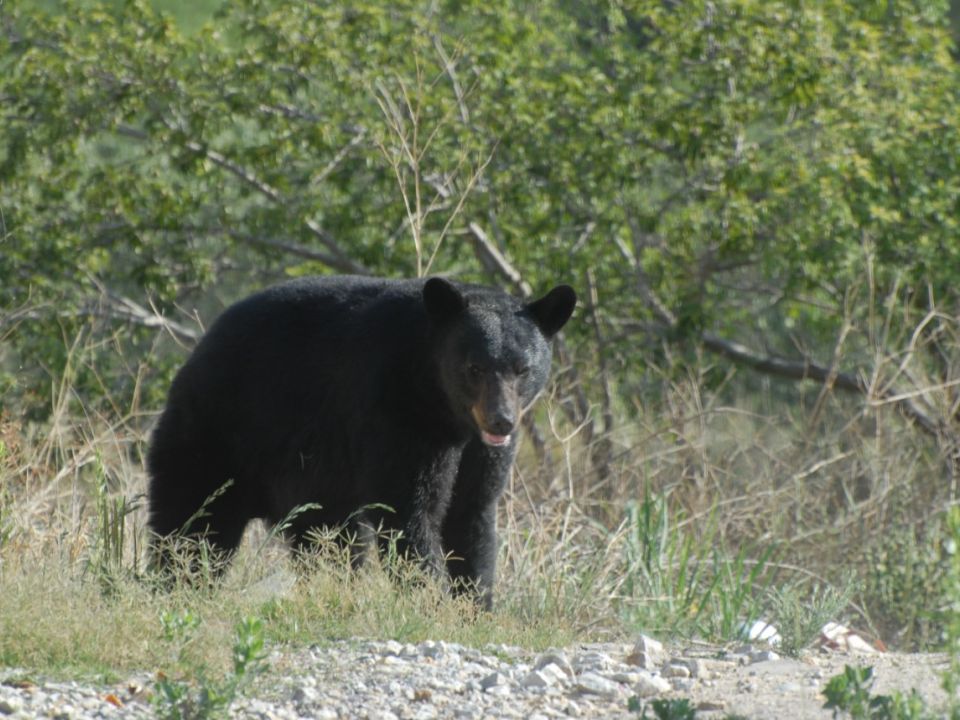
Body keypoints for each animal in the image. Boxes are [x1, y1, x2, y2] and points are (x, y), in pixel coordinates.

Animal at [146, 276, 572, 608]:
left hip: (312, 484)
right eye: (475, 367)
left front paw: (475, 604)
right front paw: (431, 600)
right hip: (217, 436)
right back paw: (176, 587)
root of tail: (198, 351)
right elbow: (409, 511)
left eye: (522, 368)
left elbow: (471, 513)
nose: (502, 419)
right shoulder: (395, 412)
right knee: (193, 523)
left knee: (328, 540)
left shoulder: (479, 450)